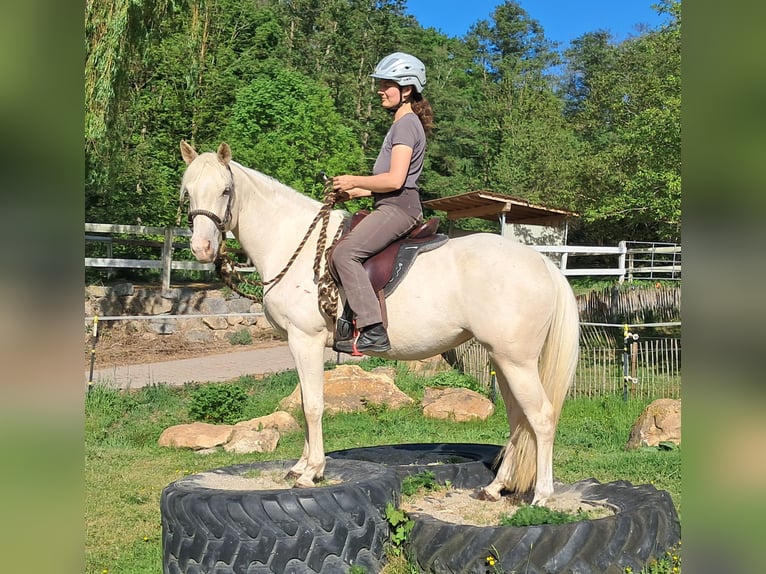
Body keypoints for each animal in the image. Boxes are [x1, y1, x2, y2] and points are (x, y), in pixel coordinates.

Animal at [179, 141, 580, 505]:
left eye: (225, 190)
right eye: (188, 190)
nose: (201, 248)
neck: (298, 247)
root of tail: (543, 263)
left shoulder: (305, 340)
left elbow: (313, 406)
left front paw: (311, 473)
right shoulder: (297, 343)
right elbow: (306, 401)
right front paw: (301, 466)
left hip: (517, 362)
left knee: (541, 417)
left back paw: (542, 496)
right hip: (504, 359)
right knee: (518, 419)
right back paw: (496, 487)